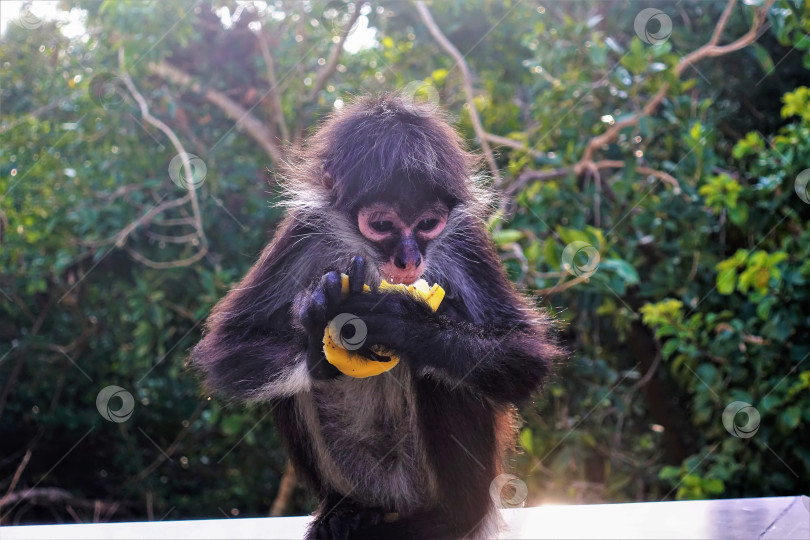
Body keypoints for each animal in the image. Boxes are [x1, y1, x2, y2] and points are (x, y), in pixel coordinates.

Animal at [190, 95, 560, 536]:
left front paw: (406, 324)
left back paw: (451, 518)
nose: (409, 260)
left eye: (428, 224)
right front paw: (317, 340)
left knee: (436, 370)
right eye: (383, 225)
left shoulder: (465, 236)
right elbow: (229, 347)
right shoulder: (305, 229)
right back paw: (343, 511)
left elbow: (527, 357)